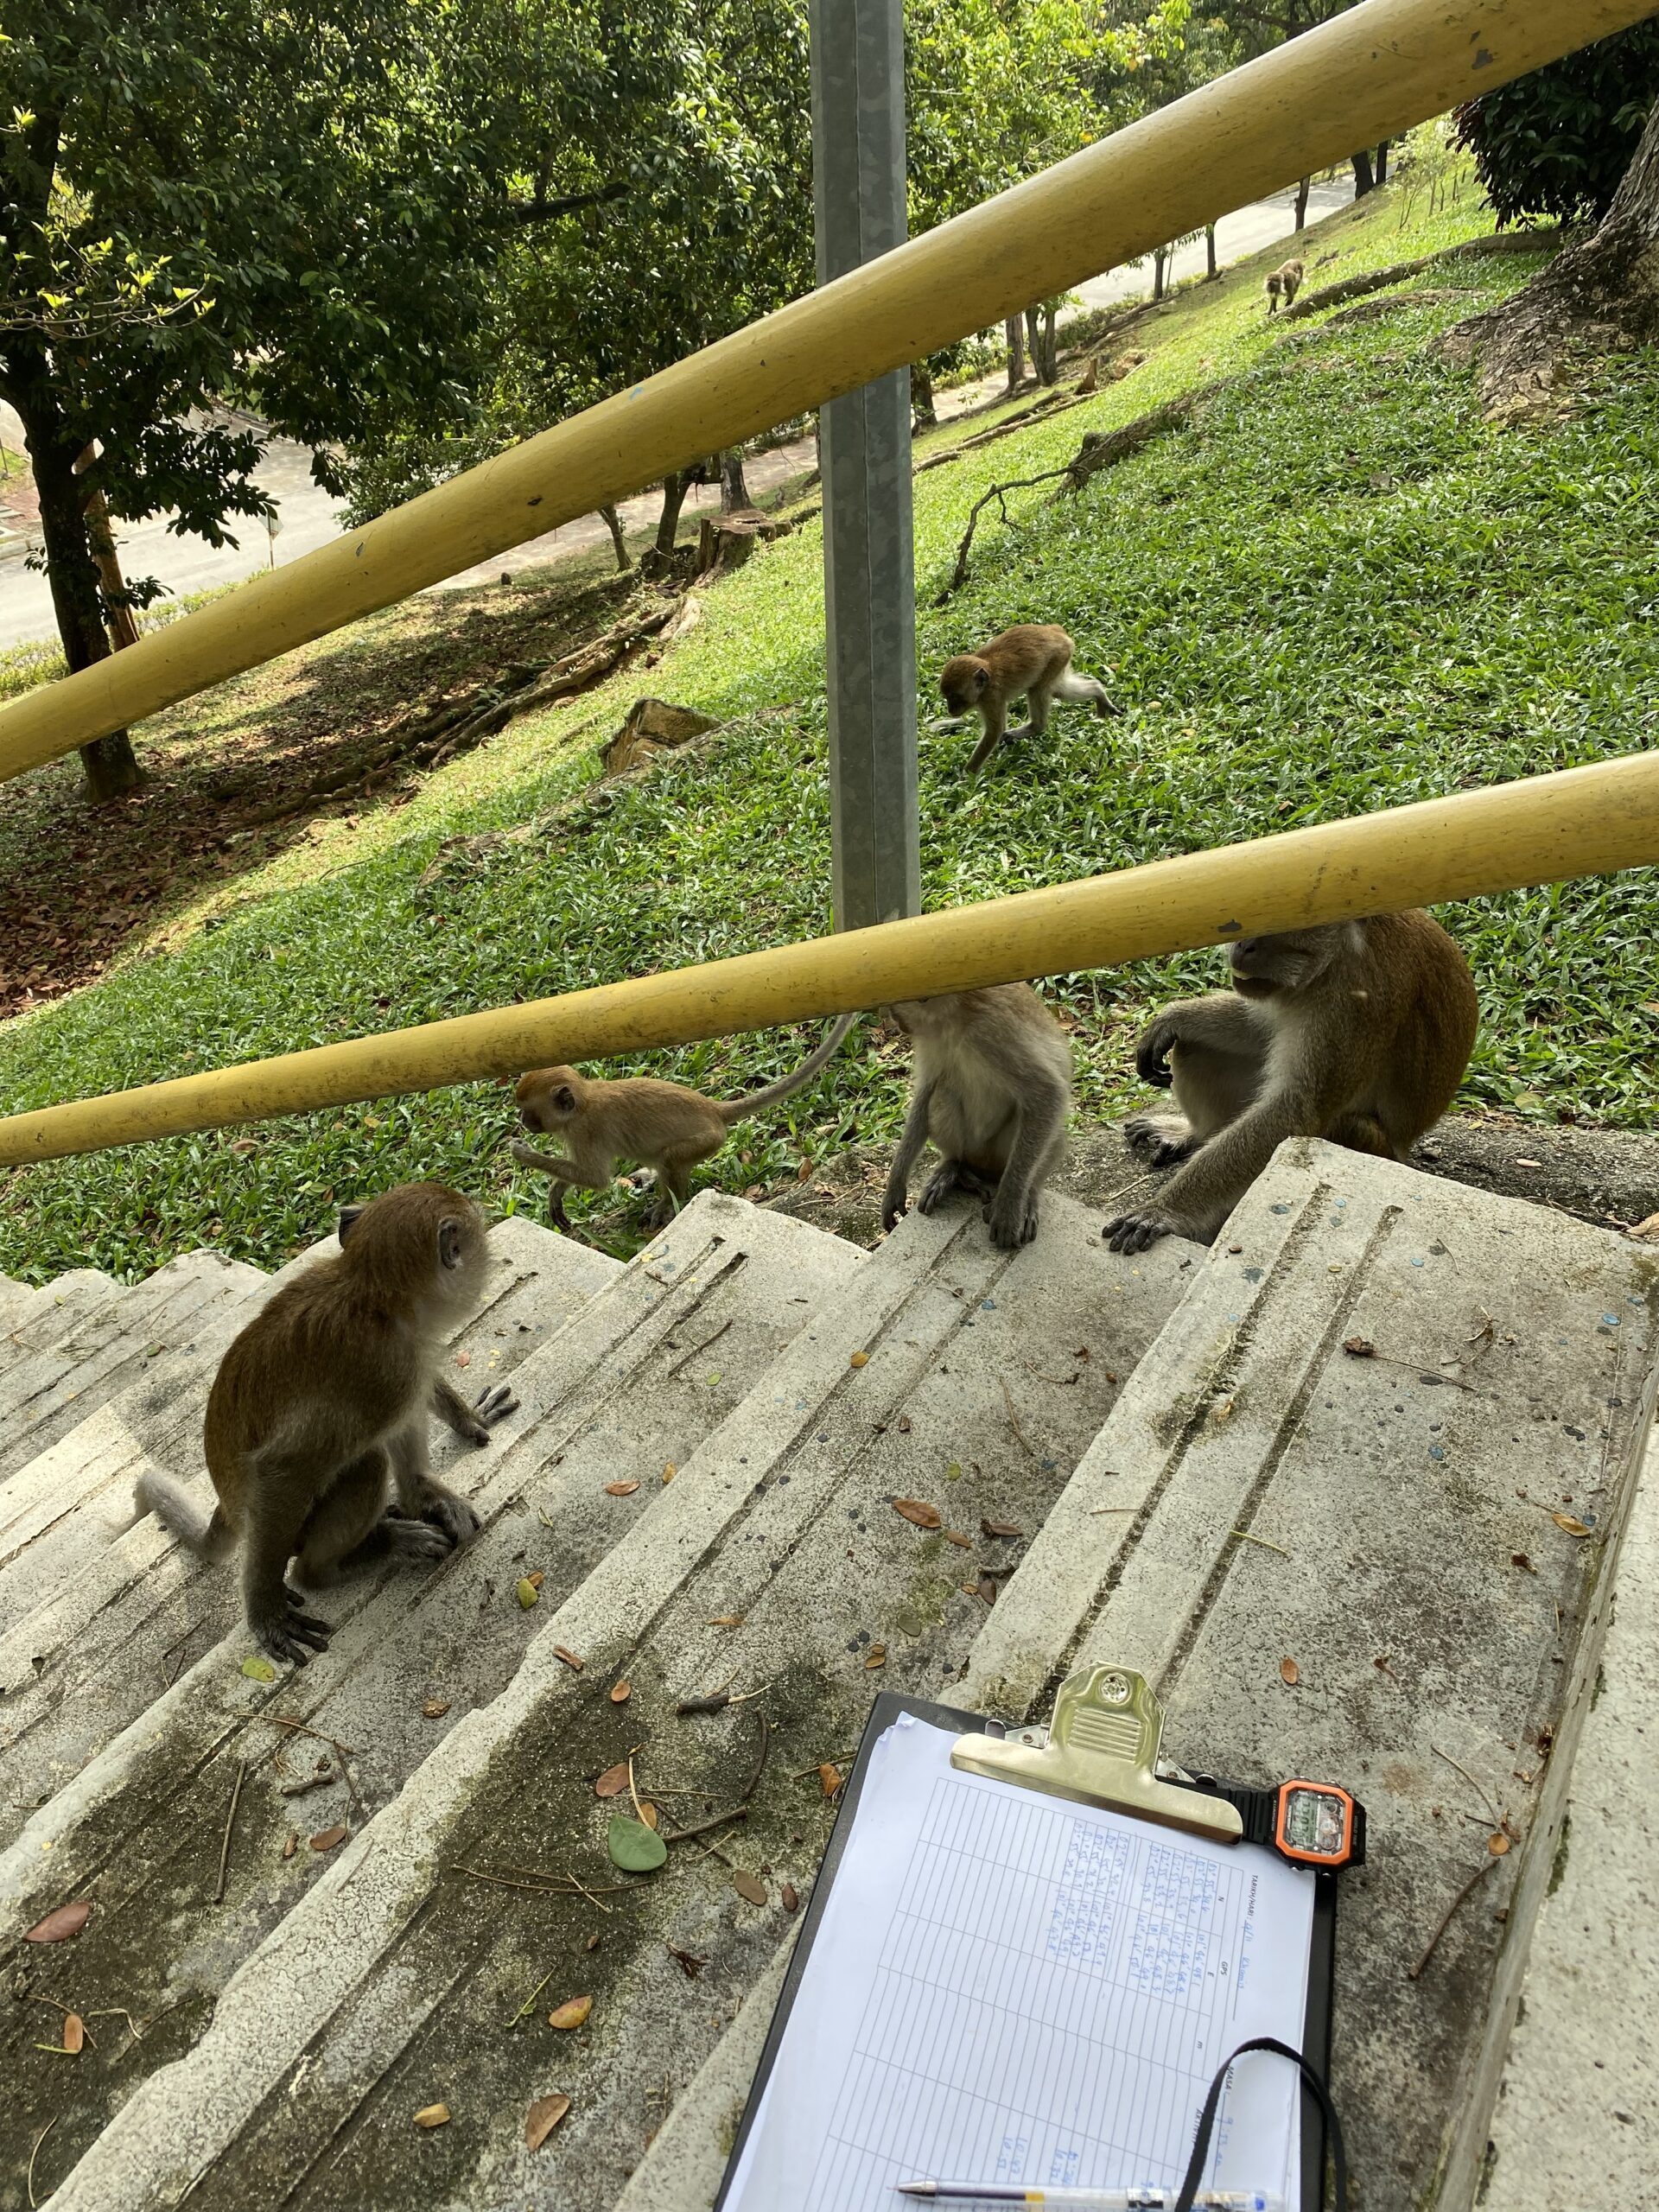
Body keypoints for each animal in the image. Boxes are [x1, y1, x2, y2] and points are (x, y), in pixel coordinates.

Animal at [135, 1183, 514, 1666]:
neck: (372, 1298)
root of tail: (231, 1506)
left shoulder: (405, 1358)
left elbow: (420, 1396)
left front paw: (463, 1428)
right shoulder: (387, 1373)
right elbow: (282, 1470)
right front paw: (265, 1608)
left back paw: (414, 1498)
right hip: (298, 1530)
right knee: (364, 1462)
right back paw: (333, 1565)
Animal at [511, 1012, 861, 1230]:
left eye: (528, 1109)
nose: (523, 1120)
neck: (581, 1104)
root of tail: (713, 1109)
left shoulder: (584, 1131)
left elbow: (595, 1179)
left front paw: (524, 1154)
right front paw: (556, 1192)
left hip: (707, 1141)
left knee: (670, 1158)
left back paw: (668, 1203)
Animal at [881, 984, 1072, 1250]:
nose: (889, 1015)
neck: (952, 1017)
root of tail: (984, 1166)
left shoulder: (993, 1031)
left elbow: (1048, 1093)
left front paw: (1009, 1207)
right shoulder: (930, 1037)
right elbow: (926, 1089)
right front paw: (895, 1185)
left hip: (999, 1156)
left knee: (1049, 1129)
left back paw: (1030, 1192)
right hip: (972, 1150)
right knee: (943, 1092)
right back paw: (956, 1168)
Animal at [936, 625, 1117, 774]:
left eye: (956, 698)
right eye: (947, 697)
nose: (951, 710)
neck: (987, 678)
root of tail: (1055, 631)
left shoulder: (992, 698)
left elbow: (995, 732)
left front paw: (966, 776)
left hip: (1057, 657)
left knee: (1038, 691)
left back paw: (1036, 727)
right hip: (1061, 660)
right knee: (1059, 690)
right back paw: (1097, 691)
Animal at [1103, 911, 1478, 1255]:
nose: (1243, 945)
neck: (1334, 956)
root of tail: (1404, 1152)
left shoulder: (1356, 997)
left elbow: (1294, 1111)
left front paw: (1164, 1211)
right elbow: (1258, 1028)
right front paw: (1175, 1017)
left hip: (1376, 1147)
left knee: (1347, 1124)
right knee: (1194, 1045)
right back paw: (1195, 1135)